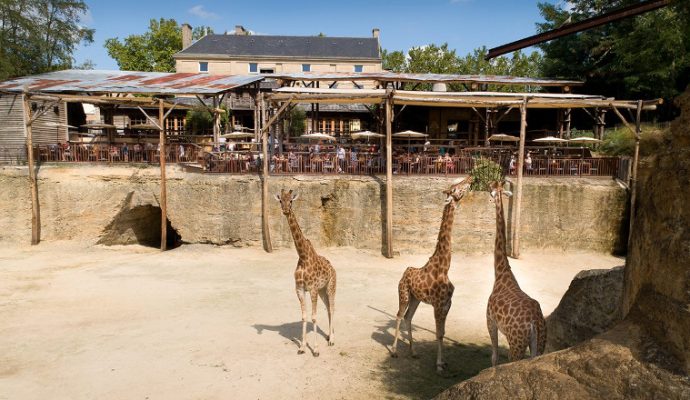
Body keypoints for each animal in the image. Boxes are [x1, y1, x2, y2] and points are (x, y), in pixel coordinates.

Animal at [276, 188, 338, 356]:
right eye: (280, 200)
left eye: (291, 200)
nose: (285, 210)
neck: (303, 257)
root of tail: (333, 267)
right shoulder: (300, 289)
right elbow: (304, 317)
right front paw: (302, 347)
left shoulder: (313, 289)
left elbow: (314, 317)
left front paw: (315, 350)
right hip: (323, 290)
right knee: (328, 309)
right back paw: (329, 335)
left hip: (330, 287)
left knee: (332, 308)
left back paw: (332, 340)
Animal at [390, 177, 470, 374]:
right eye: (456, 188)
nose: (471, 180)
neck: (445, 267)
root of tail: (404, 273)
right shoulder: (438, 305)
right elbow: (438, 333)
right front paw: (439, 365)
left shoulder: (447, 304)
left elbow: (443, 332)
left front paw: (444, 362)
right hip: (404, 295)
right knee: (398, 315)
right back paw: (394, 351)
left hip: (415, 299)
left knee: (408, 317)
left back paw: (413, 352)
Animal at [484, 180, 544, 366]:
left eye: (491, 189)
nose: (489, 195)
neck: (501, 273)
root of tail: (535, 322)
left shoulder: (490, 320)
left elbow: (494, 356)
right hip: (539, 343)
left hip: (516, 343)